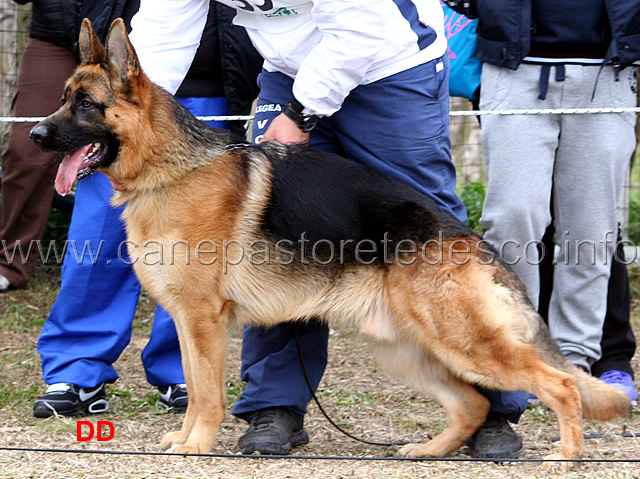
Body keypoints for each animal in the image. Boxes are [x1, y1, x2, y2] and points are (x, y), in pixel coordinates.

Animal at [31, 20, 632, 466]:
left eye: (85, 105)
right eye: (62, 99)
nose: (36, 134)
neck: (170, 169)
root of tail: (468, 238)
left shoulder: (202, 321)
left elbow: (205, 393)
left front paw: (195, 445)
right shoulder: (185, 320)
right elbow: (196, 388)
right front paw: (186, 439)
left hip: (464, 342)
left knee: (559, 384)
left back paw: (567, 455)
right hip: (409, 349)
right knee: (470, 405)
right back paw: (429, 449)